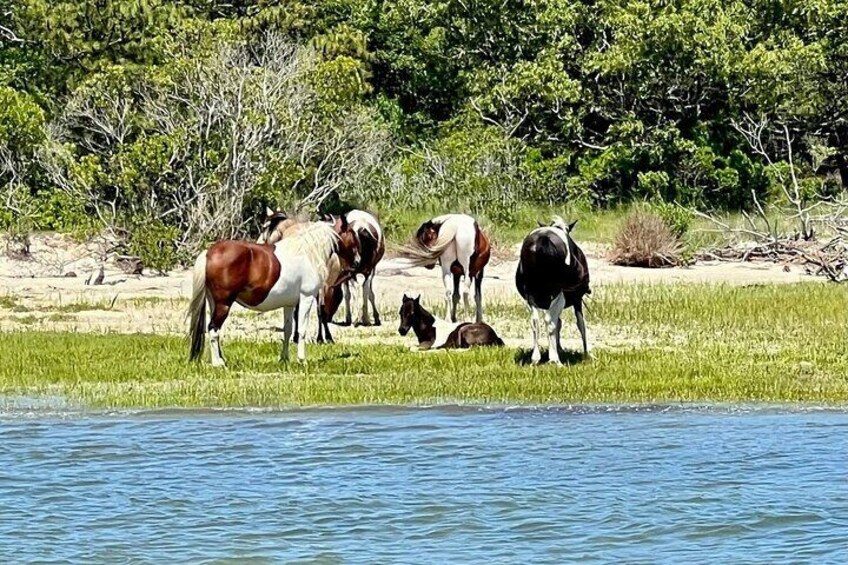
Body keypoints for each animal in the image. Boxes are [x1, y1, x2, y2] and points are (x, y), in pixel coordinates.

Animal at [188, 219, 360, 366]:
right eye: (352, 234)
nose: (357, 262)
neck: (307, 252)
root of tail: (209, 253)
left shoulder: (289, 304)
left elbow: (288, 331)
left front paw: (284, 359)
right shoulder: (306, 298)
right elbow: (302, 330)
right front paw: (302, 360)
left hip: (214, 303)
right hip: (224, 304)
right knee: (213, 329)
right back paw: (218, 363)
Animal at [515, 216, 590, 365]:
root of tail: (543, 239)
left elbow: (557, 323)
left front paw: (557, 348)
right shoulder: (576, 299)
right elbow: (580, 324)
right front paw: (586, 354)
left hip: (531, 294)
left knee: (536, 322)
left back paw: (536, 358)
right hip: (557, 293)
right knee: (550, 322)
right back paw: (555, 359)